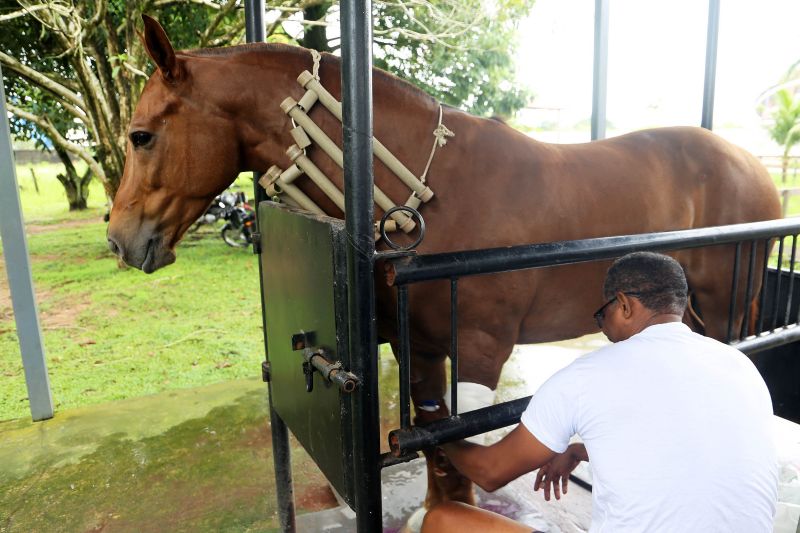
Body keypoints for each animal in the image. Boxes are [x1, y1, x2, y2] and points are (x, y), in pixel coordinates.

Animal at [108, 17, 780, 512]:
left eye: (141, 136)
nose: (119, 239)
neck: (430, 198)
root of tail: (753, 162)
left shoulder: (479, 349)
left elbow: (462, 444)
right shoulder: (425, 350)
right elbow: (437, 446)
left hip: (726, 307)